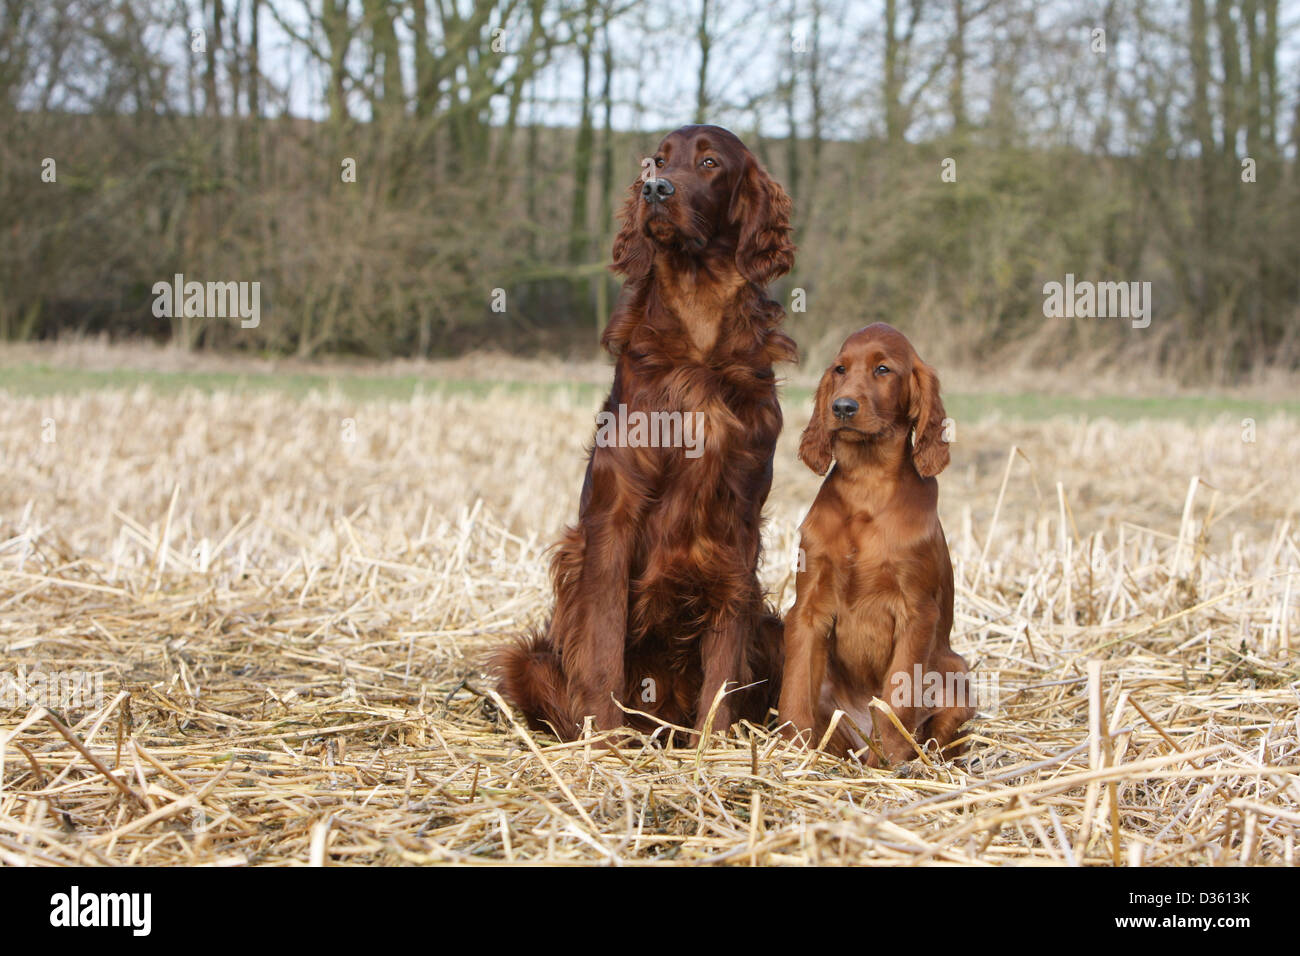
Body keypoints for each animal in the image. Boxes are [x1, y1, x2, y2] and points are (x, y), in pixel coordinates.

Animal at [496, 125, 795, 738]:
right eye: (656, 160)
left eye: (709, 163)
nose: (656, 189)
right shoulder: (614, 518)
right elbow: (603, 646)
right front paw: (605, 738)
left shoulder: (738, 523)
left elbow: (725, 661)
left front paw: (715, 742)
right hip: (530, 661)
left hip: (774, 631)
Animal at [774, 325, 972, 764]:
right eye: (840, 369)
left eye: (883, 369)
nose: (843, 407)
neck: (866, 484)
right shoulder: (808, 607)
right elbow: (793, 688)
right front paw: (791, 750)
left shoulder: (917, 612)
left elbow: (897, 696)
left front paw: (894, 760)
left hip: (957, 674)